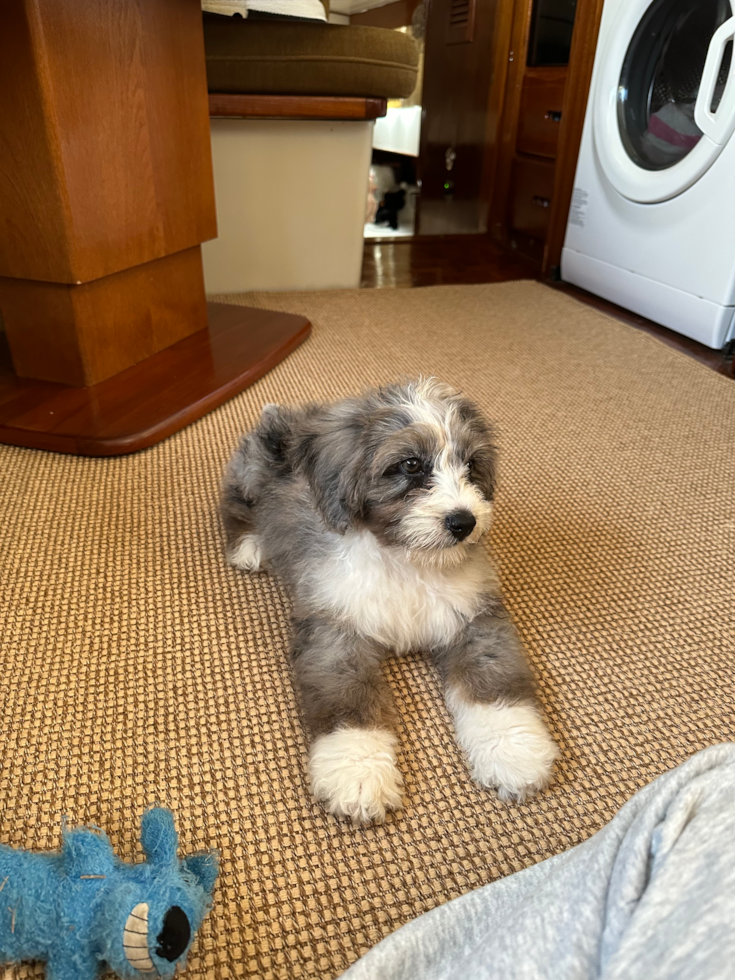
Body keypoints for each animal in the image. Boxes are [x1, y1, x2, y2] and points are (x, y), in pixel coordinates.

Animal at [221, 380, 558, 824]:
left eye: (471, 465)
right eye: (411, 465)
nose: (463, 522)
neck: (406, 560)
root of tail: (285, 416)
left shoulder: (475, 620)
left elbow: (493, 688)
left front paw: (512, 751)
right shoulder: (336, 633)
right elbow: (350, 707)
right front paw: (358, 775)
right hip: (249, 475)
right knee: (233, 504)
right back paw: (250, 545)